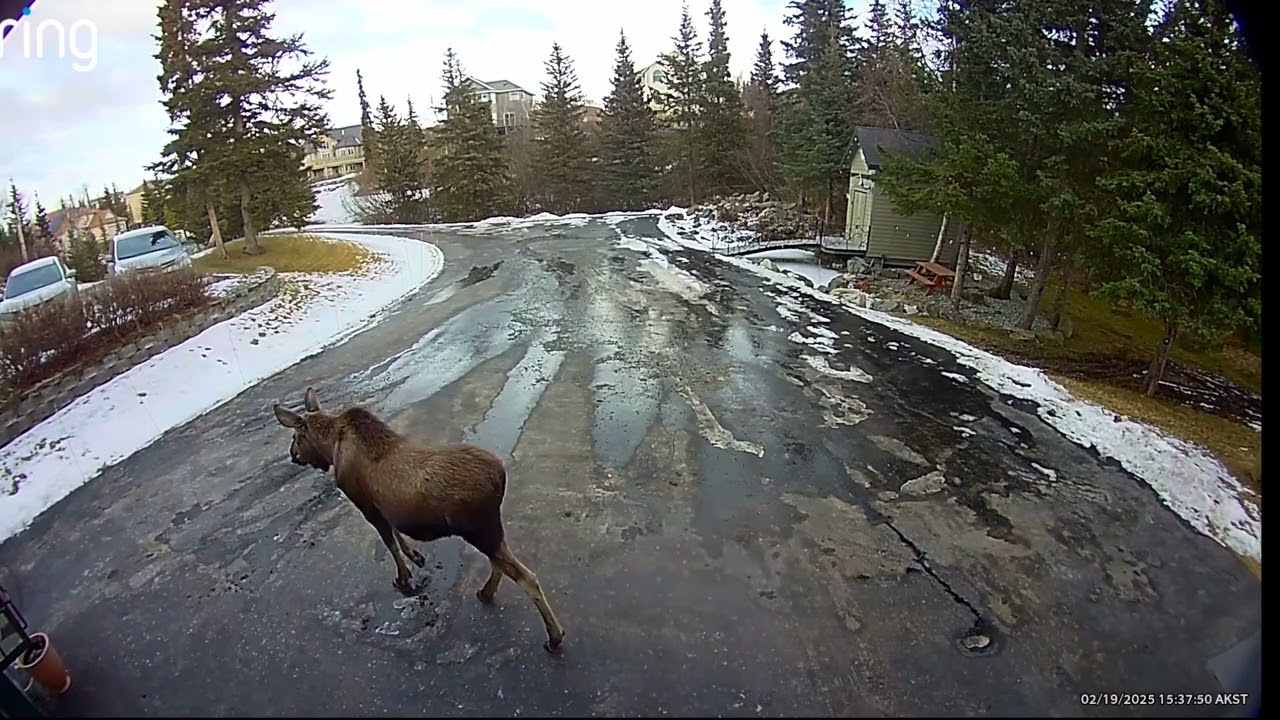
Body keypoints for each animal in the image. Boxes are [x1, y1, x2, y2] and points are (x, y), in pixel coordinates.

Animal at [272, 387, 566, 653]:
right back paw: (486, 592)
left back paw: (554, 636)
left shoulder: (365, 503)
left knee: (526, 576)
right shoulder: (383, 507)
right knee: (502, 564)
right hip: (489, 530)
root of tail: (501, 477)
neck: (331, 446)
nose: (293, 455)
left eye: (296, 435)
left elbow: (390, 544)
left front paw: (404, 577)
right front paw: (416, 556)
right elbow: (397, 533)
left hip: (478, 530)